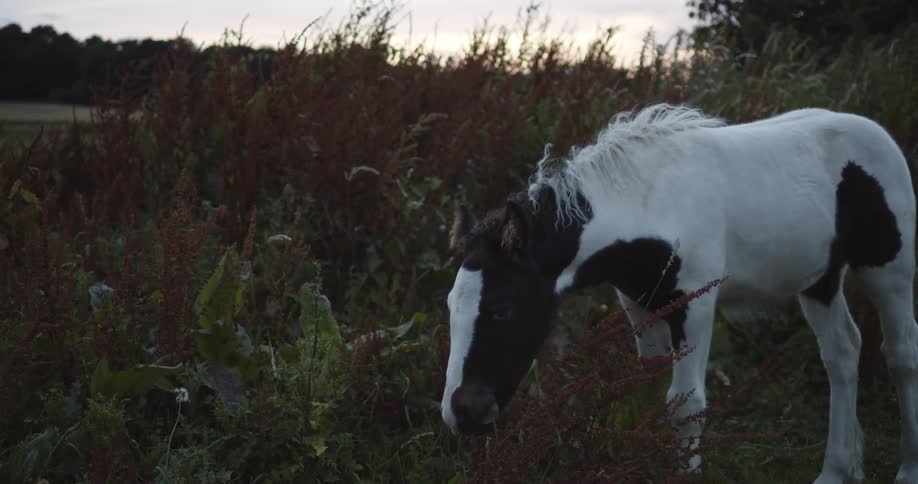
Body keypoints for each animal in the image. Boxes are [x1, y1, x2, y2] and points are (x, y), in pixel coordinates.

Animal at [439, 104, 918, 483]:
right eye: (449, 307)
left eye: (502, 309)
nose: (461, 413)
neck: (652, 202)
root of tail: (880, 135)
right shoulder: (639, 305)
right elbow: (649, 392)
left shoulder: (695, 304)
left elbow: (686, 405)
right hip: (820, 280)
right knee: (843, 352)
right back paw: (836, 471)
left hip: (888, 269)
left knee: (900, 353)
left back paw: (906, 470)